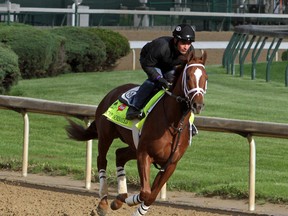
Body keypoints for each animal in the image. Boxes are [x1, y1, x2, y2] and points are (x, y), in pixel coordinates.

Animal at [66, 50, 208, 214]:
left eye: (205, 78)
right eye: (189, 77)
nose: (197, 105)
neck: (174, 123)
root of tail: (111, 93)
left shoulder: (170, 164)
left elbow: (151, 196)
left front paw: (126, 201)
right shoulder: (144, 154)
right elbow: (145, 192)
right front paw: (128, 200)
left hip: (134, 145)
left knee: (119, 154)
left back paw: (120, 197)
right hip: (106, 135)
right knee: (102, 160)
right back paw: (104, 202)